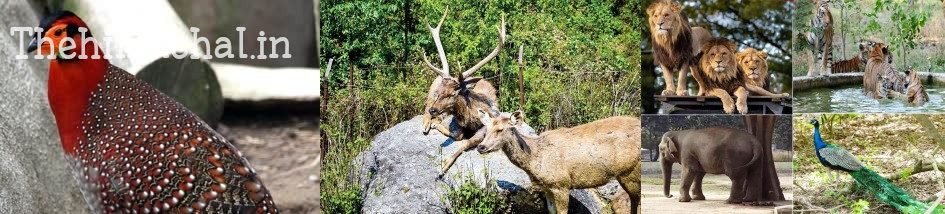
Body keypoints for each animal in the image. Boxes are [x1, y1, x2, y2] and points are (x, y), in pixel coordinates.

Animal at [418, 7, 506, 177]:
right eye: (440, 92)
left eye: (453, 94)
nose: (434, 110)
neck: (470, 119)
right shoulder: (454, 120)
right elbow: (457, 134)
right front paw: (437, 127)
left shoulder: (486, 125)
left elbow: (466, 142)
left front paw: (443, 166)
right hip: (430, 94)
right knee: (424, 109)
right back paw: (427, 124)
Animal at [472, 109, 640, 213]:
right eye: (485, 129)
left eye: (500, 129)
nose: (481, 147)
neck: (536, 159)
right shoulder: (548, 186)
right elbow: (551, 210)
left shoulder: (562, 183)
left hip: (630, 171)